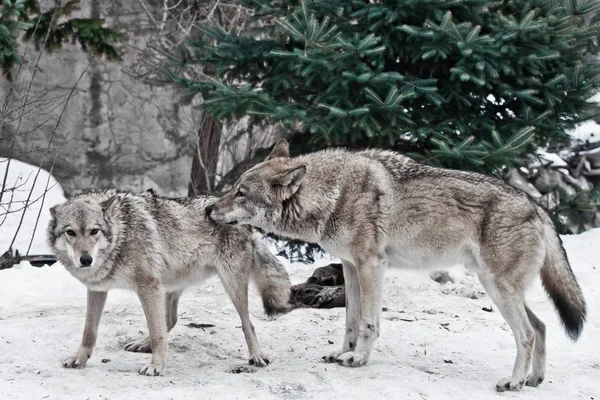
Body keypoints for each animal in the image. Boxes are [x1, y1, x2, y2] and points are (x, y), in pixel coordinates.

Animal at [47, 188, 290, 376]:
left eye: (94, 231)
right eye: (70, 232)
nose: (86, 260)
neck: (121, 235)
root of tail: (245, 222)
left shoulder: (148, 286)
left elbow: (157, 333)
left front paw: (156, 367)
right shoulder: (98, 289)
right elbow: (89, 331)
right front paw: (79, 359)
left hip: (231, 287)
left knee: (248, 323)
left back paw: (257, 356)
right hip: (168, 286)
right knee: (170, 320)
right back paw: (141, 343)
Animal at [205, 139, 584, 392]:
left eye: (240, 192)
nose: (208, 209)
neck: (333, 194)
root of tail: (538, 208)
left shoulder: (372, 265)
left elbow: (369, 322)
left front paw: (359, 359)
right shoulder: (350, 267)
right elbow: (351, 321)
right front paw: (342, 353)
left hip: (498, 288)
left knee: (528, 333)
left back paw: (514, 382)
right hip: (499, 288)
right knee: (542, 327)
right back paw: (534, 379)